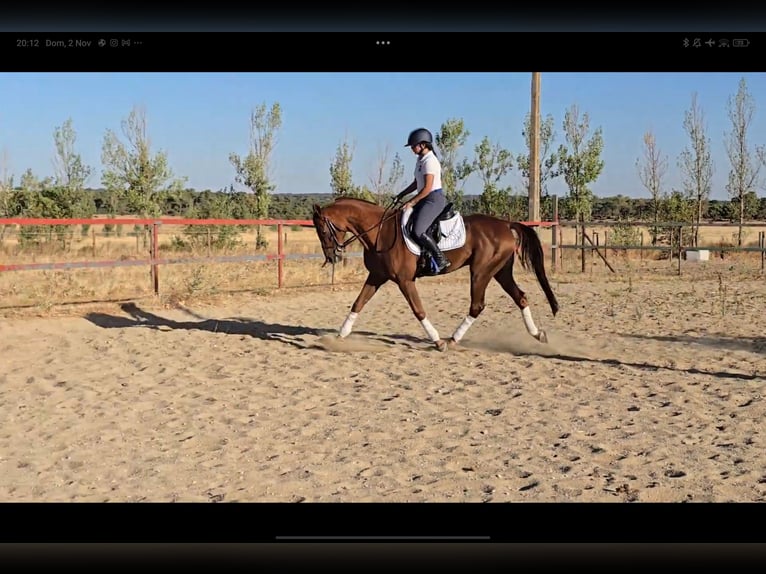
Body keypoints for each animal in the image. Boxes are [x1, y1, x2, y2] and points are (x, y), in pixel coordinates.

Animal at [311, 196, 559, 352]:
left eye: (322, 229)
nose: (332, 257)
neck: (380, 232)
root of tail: (506, 225)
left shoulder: (404, 280)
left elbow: (418, 310)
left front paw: (438, 341)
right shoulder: (377, 276)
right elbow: (358, 304)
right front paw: (338, 337)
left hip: (481, 272)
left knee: (477, 305)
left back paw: (452, 340)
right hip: (500, 272)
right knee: (520, 297)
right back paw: (538, 334)